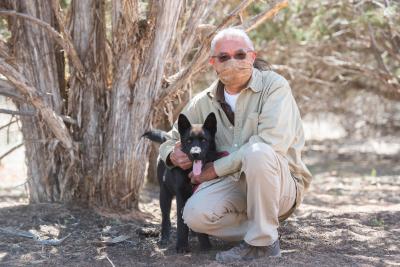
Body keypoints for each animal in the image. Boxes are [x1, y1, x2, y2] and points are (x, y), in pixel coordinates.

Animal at [143, 112, 219, 253]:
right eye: (189, 140)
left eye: (203, 140)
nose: (195, 154)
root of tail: (166, 138)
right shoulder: (181, 195)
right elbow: (180, 223)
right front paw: (182, 246)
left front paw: (205, 244)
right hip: (164, 194)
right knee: (165, 218)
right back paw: (164, 238)